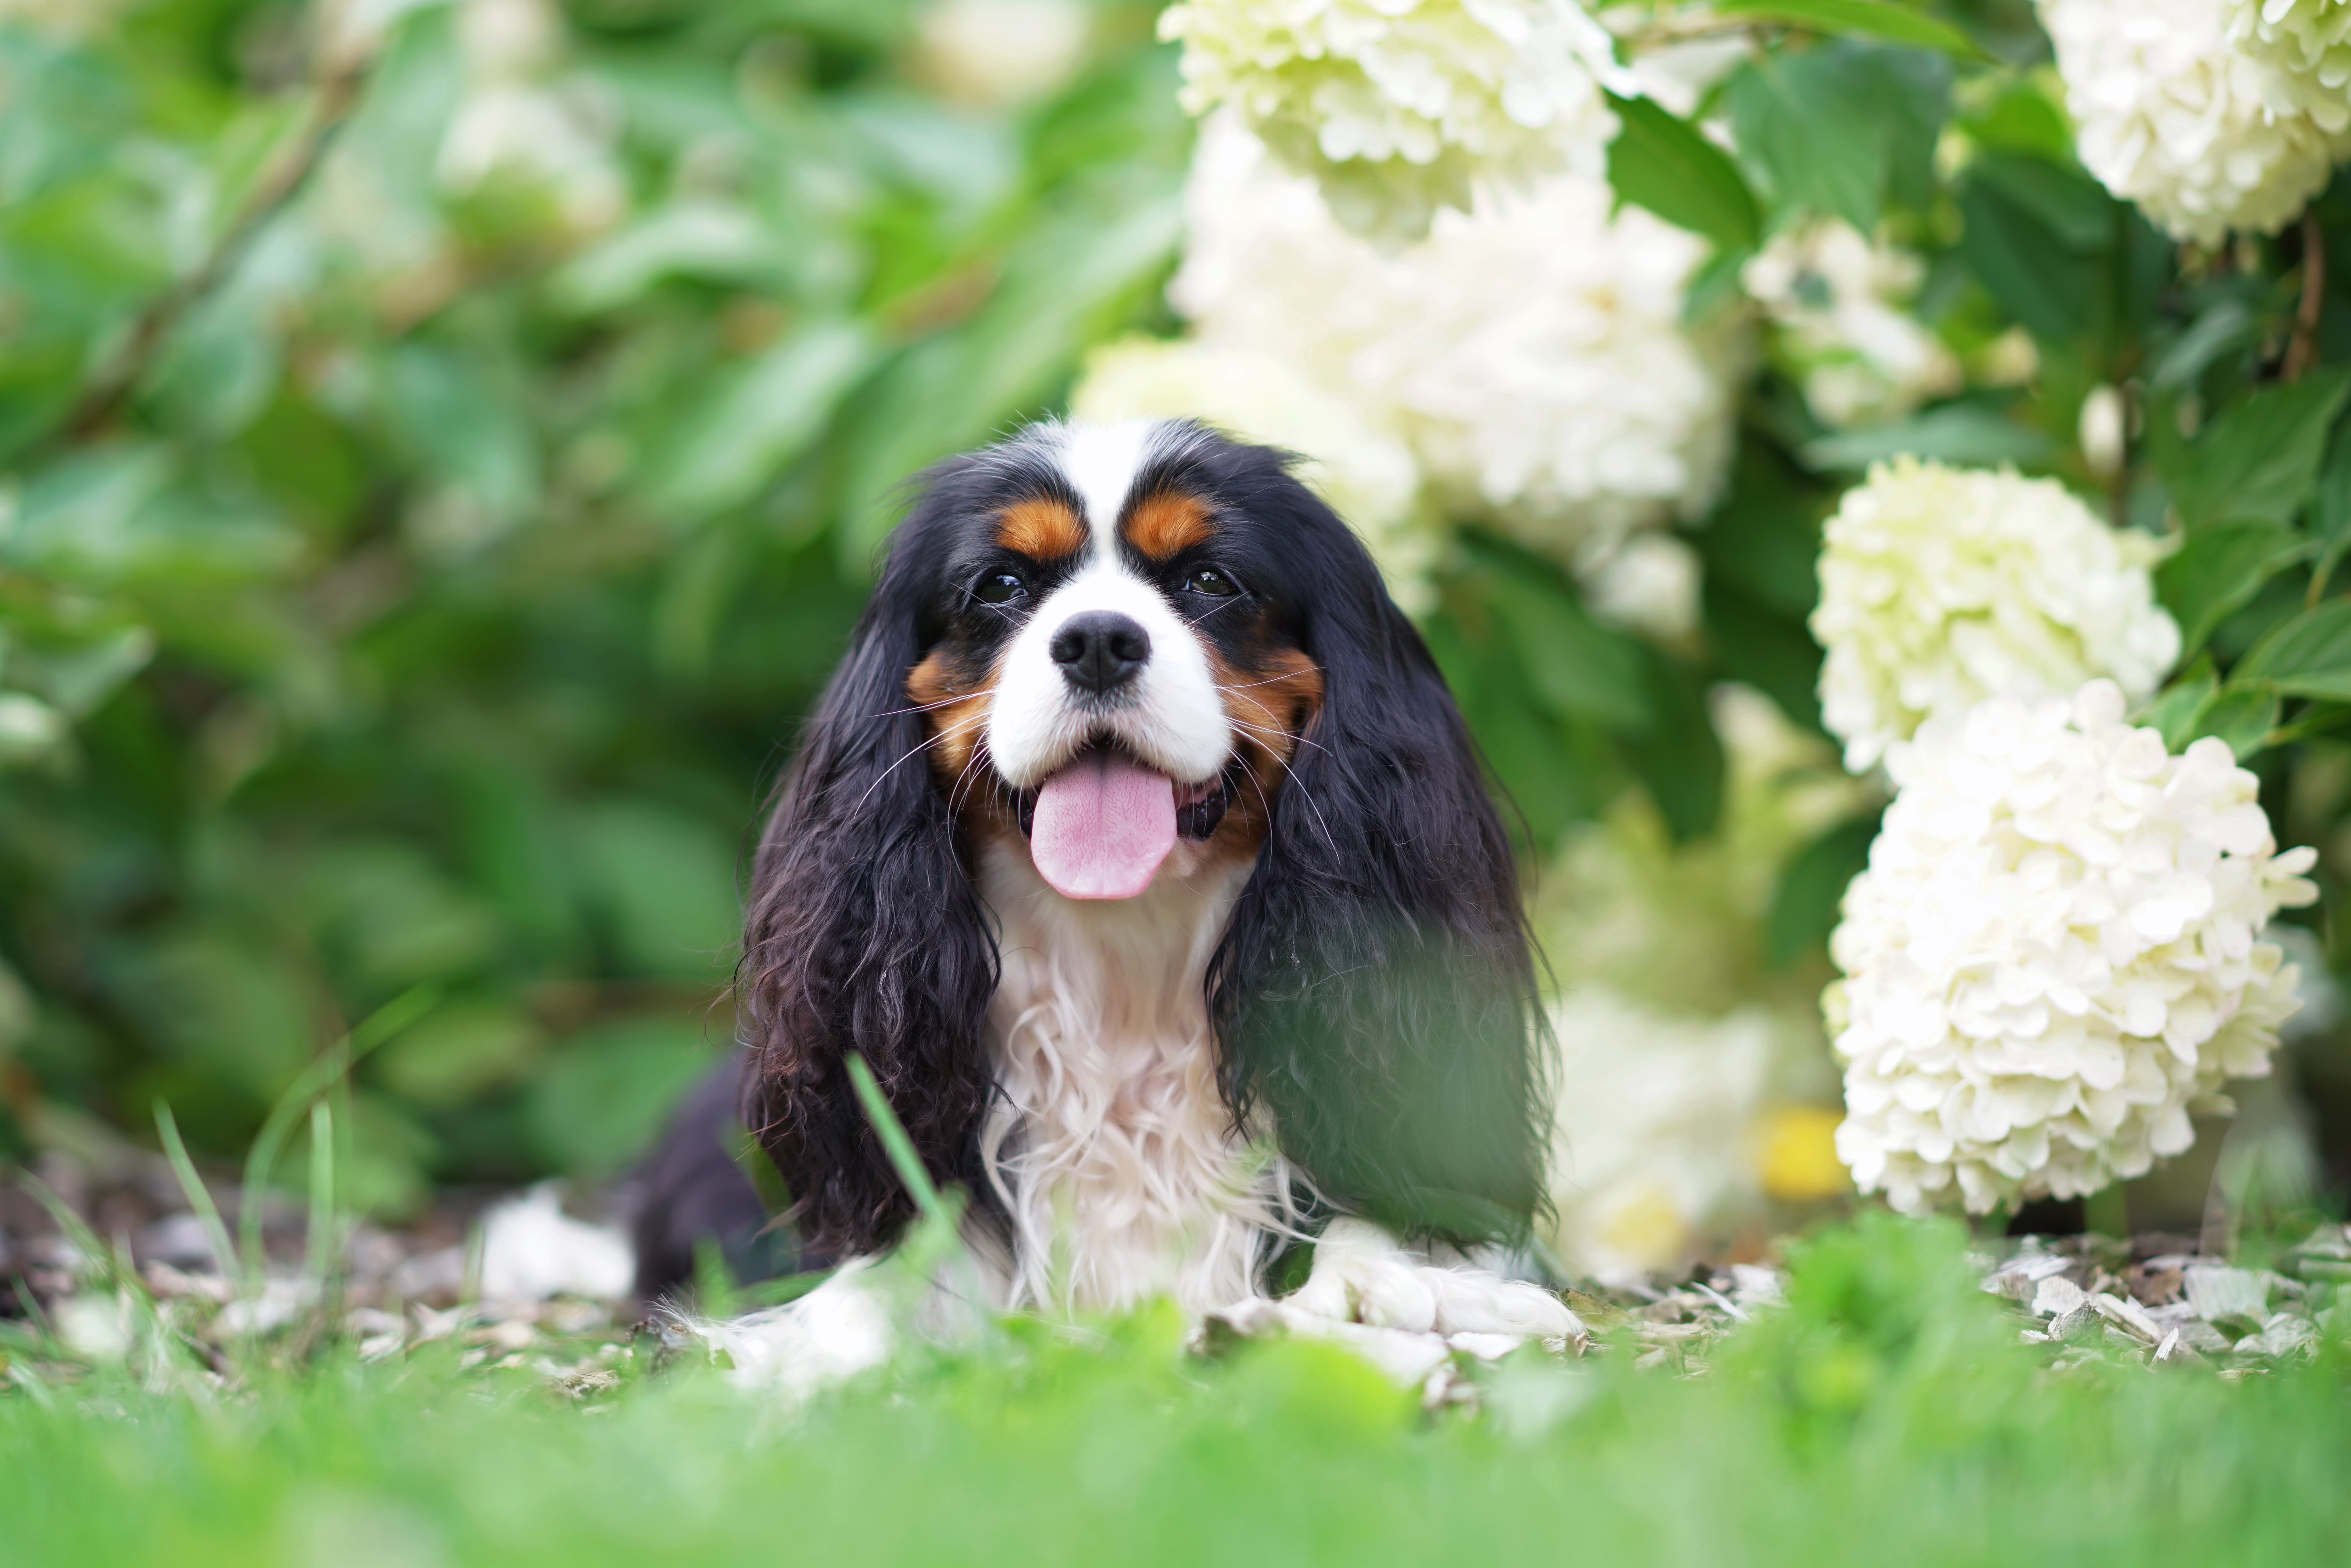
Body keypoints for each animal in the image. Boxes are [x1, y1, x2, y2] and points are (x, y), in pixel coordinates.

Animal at [635, 421, 1570, 1373]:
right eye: (1001, 586)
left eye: (1210, 580)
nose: (1095, 641)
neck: (1128, 969)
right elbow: (865, 1306)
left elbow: (1377, 1245)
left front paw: (1397, 1295)